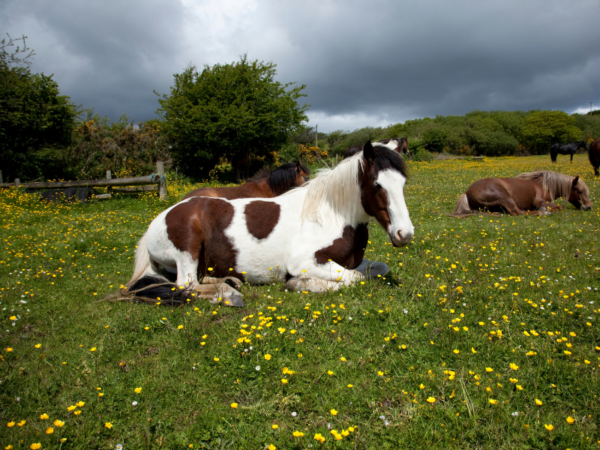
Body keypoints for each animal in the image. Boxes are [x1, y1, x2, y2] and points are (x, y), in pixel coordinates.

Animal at [452, 170, 592, 217]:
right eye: (580, 191)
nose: (589, 207)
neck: (542, 185)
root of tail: (467, 192)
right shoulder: (540, 202)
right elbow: (559, 207)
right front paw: (545, 210)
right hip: (506, 198)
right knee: (518, 212)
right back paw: (544, 213)